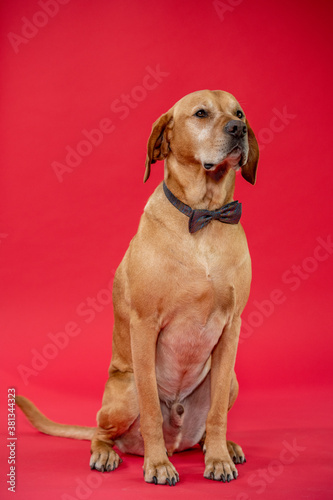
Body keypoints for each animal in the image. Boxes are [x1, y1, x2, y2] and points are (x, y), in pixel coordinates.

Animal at [16, 89, 258, 484]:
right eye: (201, 113)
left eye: (239, 114)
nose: (238, 129)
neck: (203, 217)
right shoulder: (145, 327)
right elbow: (151, 412)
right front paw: (157, 464)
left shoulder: (231, 328)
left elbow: (217, 414)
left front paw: (219, 458)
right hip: (124, 389)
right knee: (102, 433)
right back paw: (109, 454)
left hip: (231, 379)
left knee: (204, 428)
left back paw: (221, 447)